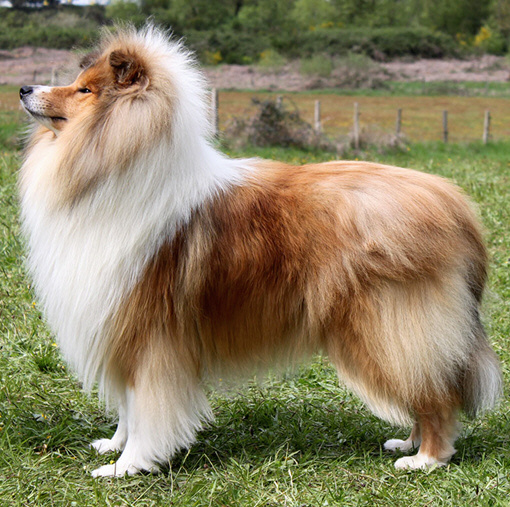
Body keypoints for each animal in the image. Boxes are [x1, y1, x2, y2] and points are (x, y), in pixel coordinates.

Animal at [19, 25, 502, 477]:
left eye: (84, 90)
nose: (24, 88)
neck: (108, 169)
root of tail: (454, 204)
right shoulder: (116, 321)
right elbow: (126, 406)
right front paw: (114, 445)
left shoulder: (148, 332)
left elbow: (145, 408)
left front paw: (128, 466)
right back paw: (408, 442)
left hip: (385, 327)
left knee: (436, 396)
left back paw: (426, 459)